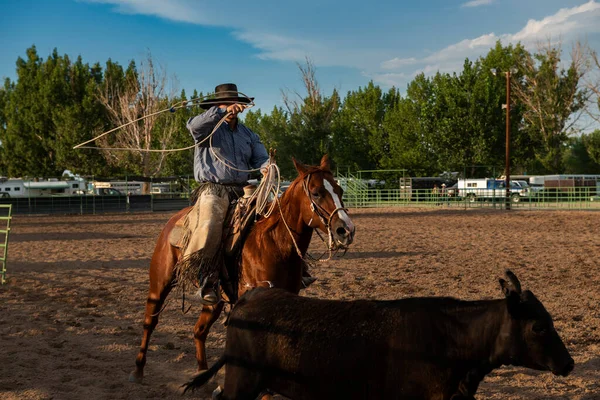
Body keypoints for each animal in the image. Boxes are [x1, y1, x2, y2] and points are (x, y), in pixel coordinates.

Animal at [129, 155, 354, 382]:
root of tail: (174, 221)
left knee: (199, 330)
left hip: (215, 300)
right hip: (160, 283)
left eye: (340, 190)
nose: (346, 230)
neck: (274, 242)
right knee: (150, 320)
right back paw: (138, 368)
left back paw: (203, 374)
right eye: (316, 192)